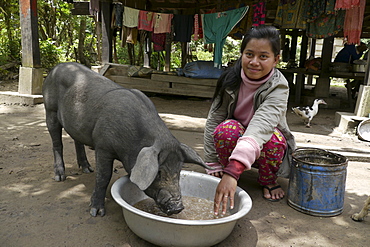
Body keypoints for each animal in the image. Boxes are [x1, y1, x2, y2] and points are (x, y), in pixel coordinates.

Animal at [42, 63, 211, 216]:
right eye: (158, 172)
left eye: (179, 170)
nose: (178, 207)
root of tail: (56, 67)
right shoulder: (103, 145)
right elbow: (103, 176)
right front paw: (96, 212)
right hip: (50, 110)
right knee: (57, 143)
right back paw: (60, 176)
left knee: (77, 140)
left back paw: (87, 169)